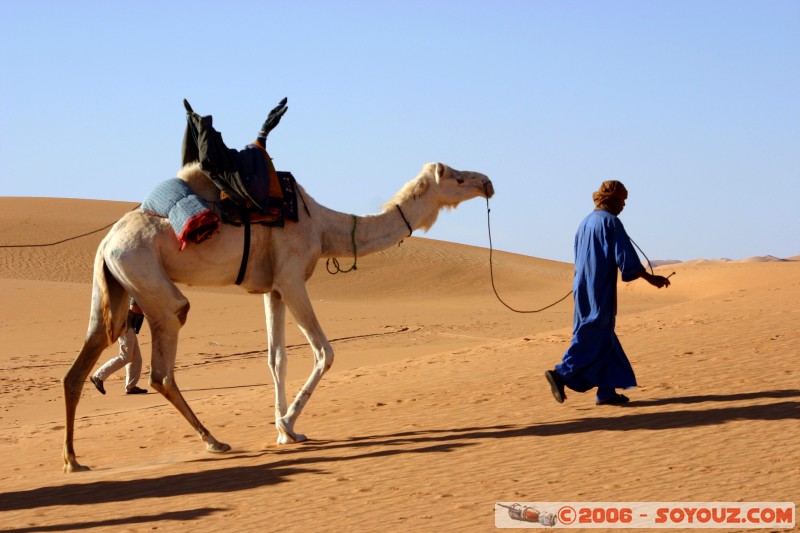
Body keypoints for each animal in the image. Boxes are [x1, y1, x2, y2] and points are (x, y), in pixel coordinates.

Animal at [62, 161, 494, 472]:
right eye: (457, 177)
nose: (487, 182)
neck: (323, 226)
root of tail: (106, 241)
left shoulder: (272, 288)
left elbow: (277, 358)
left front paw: (284, 431)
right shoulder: (292, 277)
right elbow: (324, 351)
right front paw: (288, 425)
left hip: (113, 283)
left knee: (83, 360)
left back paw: (73, 460)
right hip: (147, 276)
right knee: (162, 366)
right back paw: (214, 441)